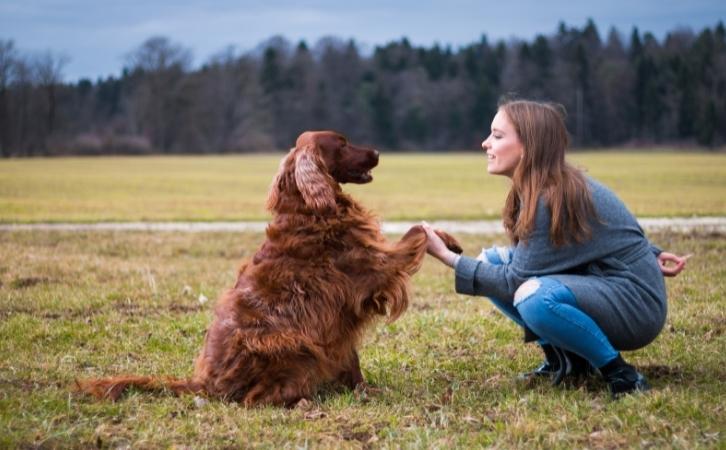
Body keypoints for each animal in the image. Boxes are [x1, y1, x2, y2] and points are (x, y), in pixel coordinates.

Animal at [77, 131, 464, 408]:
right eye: (341, 144)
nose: (379, 153)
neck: (309, 210)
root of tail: (204, 383)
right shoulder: (375, 268)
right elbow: (416, 232)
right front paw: (443, 239)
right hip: (292, 343)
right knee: (254, 399)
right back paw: (302, 401)